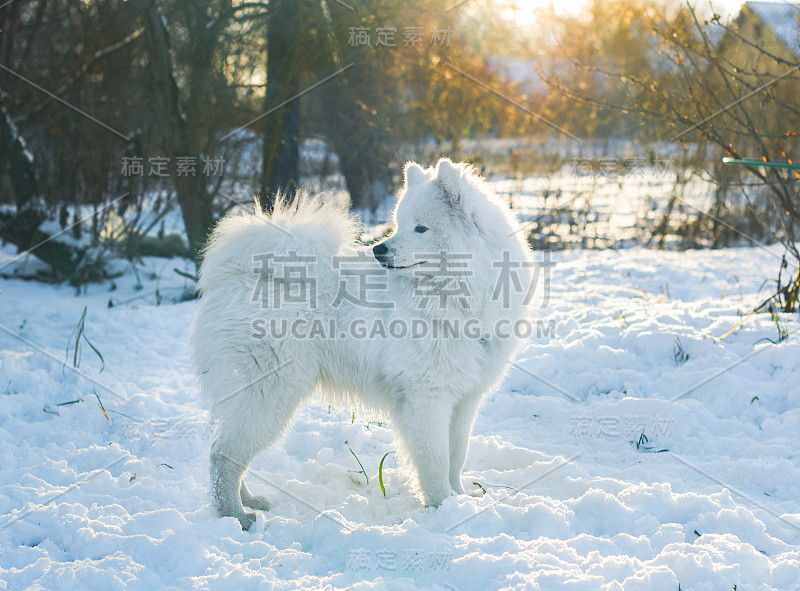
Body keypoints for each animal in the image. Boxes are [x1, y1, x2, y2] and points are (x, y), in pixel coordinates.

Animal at [191, 157, 536, 528]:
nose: (378, 249)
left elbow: (456, 456)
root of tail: (240, 276)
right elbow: (435, 461)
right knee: (222, 455)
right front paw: (442, 508)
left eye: (420, 228)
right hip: (267, 395)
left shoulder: (465, 399)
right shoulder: (425, 397)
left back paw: (250, 501)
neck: (456, 298)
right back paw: (236, 516)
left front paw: (460, 499)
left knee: (228, 452)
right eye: (400, 224)